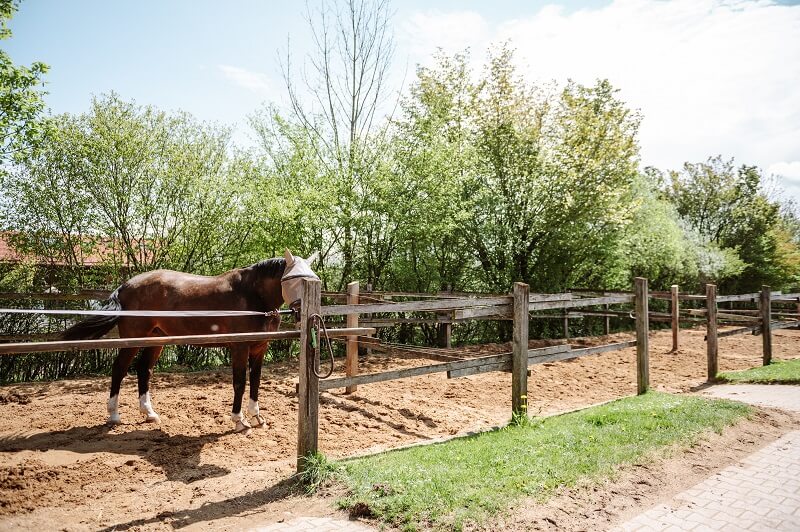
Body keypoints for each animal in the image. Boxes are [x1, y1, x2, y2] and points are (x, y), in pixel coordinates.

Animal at [62, 249, 318, 432]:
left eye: (314, 279)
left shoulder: (259, 348)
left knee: (144, 370)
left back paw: (149, 413)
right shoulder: (239, 347)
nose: (302, 312)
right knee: (119, 369)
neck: (252, 296)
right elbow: (240, 383)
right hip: (133, 339)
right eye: (293, 279)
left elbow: (255, 382)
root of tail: (126, 285)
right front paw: (239, 421)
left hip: (156, 339)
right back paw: (114, 415)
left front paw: (257, 417)